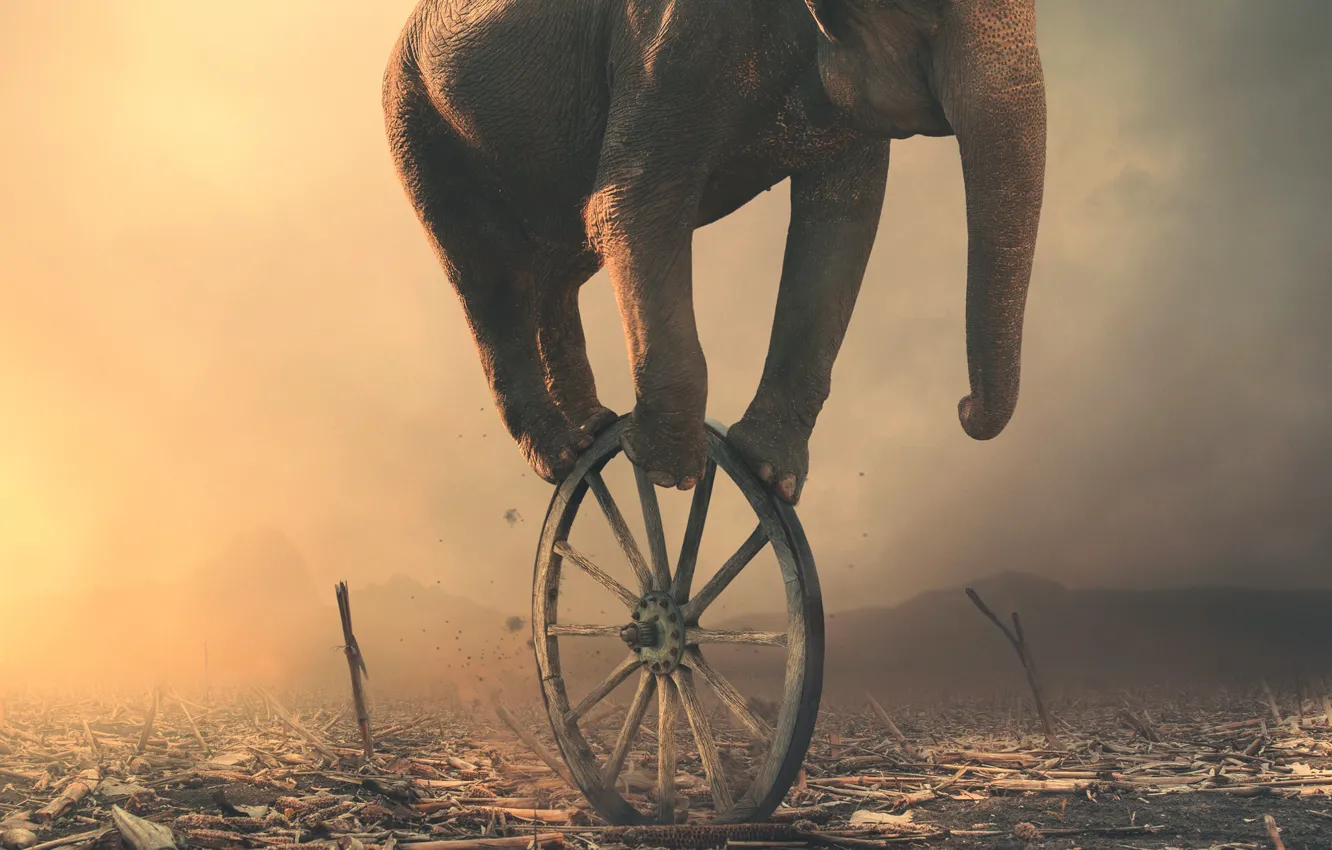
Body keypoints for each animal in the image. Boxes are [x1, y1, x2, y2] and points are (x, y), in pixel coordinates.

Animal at [383, 0, 1047, 504]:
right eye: (929, 7)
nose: (963, 407)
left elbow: (844, 222)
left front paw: (770, 473)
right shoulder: (672, 42)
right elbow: (630, 205)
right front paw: (670, 474)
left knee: (555, 274)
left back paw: (593, 427)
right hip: (418, 127)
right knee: (490, 278)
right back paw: (564, 452)